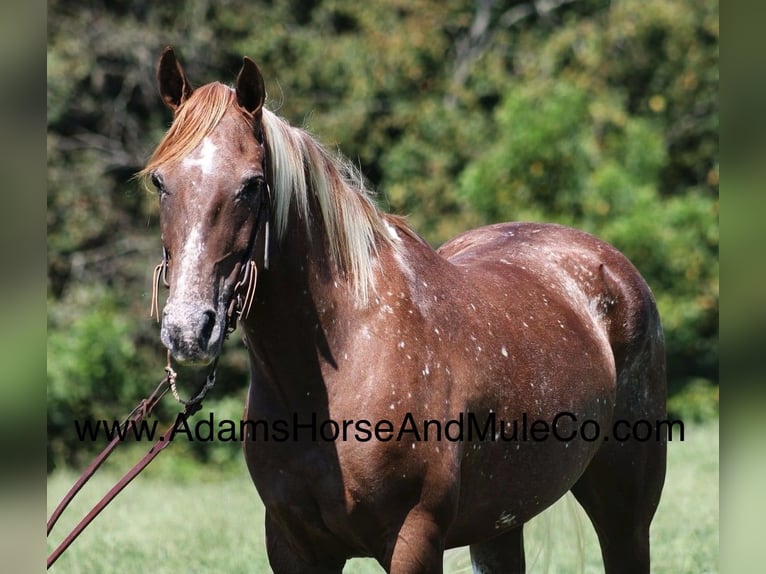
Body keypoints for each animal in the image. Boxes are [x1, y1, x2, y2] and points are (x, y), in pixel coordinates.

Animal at [141, 47, 666, 573]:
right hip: (500, 523)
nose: (188, 329)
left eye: (251, 185)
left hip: (625, 511)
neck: (346, 357)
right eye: (160, 181)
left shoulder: (414, 540)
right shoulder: (292, 546)